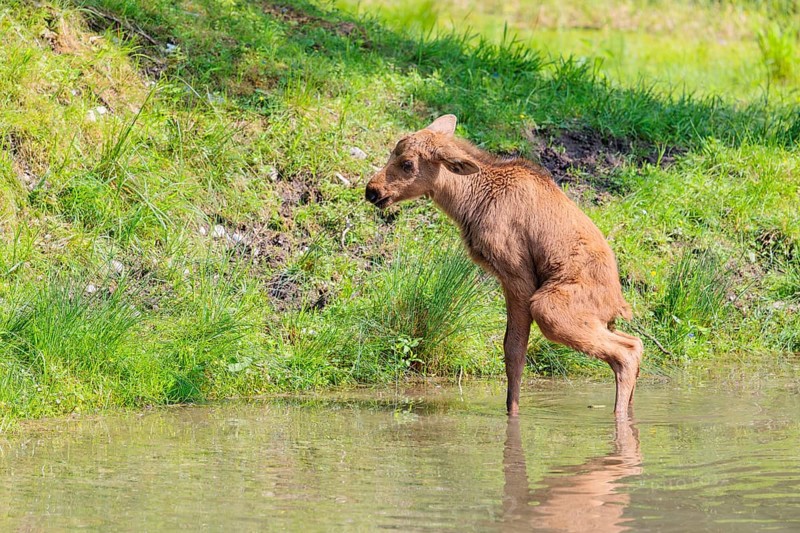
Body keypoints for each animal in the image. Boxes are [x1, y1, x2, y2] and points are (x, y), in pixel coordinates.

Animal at [365, 114, 642, 418]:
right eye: (393, 152)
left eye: (407, 164)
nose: (371, 191)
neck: (468, 202)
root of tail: (619, 303)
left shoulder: (518, 276)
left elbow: (514, 351)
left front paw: (513, 413)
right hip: (600, 320)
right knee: (636, 343)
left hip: (548, 308)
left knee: (626, 352)